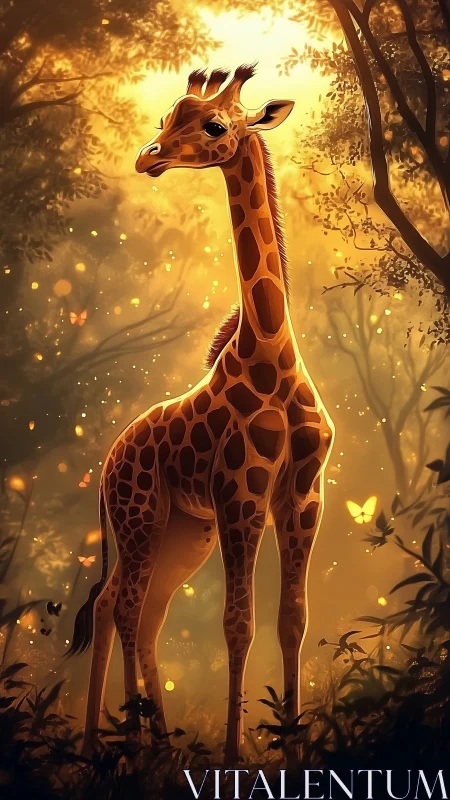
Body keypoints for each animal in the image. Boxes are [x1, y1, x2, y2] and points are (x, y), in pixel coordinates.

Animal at [68, 65, 334, 765]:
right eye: (167, 118)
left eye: (214, 125)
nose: (148, 156)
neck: (271, 353)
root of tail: (107, 460)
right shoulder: (241, 493)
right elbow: (237, 624)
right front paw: (236, 757)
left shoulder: (303, 495)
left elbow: (292, 619)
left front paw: (294, 747)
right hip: (140, 518)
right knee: (124, 607)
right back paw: (122, 749)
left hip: (180, 531)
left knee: (132, 608)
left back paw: (142, 746)